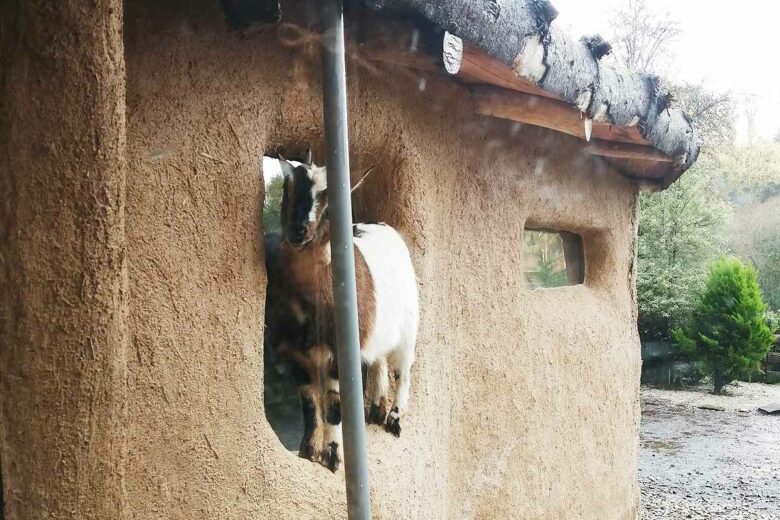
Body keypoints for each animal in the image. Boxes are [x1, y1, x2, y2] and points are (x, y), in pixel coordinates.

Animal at [264, 151, 420, 472]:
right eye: (288, 188)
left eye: (332, 200)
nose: (298, 231)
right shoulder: (294, 353)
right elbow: (310, 402)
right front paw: (308, 450)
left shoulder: (340, 351)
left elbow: (334, 403)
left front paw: (333, 457)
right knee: (379, 361)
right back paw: (376, 410)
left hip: (409, 326)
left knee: (403, 369)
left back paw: (394, 419)